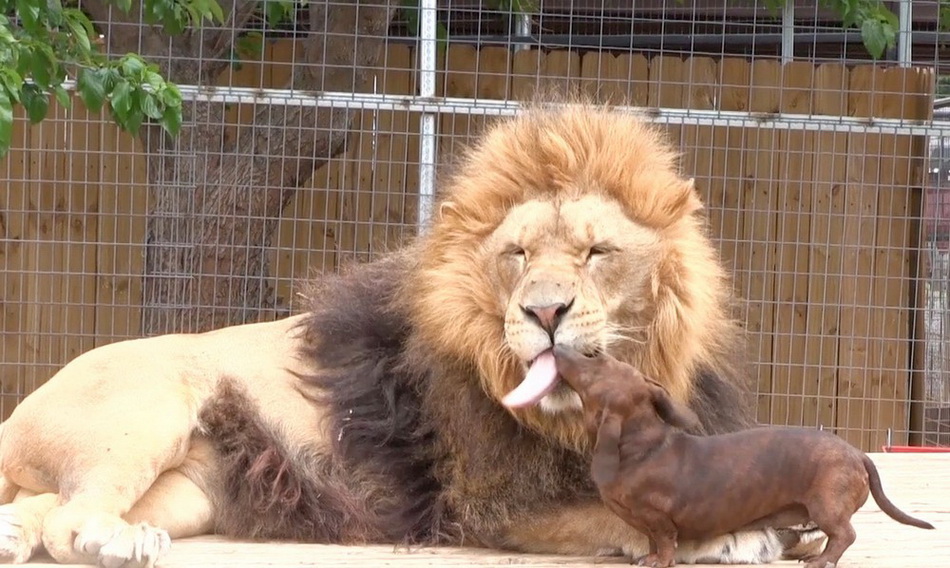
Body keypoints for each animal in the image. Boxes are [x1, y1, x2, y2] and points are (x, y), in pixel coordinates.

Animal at [0, 100, 824, 564]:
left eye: (596, 252)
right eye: (517, 254)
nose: (544, 313)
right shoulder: (487, 505)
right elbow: (614, 512)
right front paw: (728, 534)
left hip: (189, 490)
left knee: (45, 510)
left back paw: (26, 534)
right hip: (146, 413)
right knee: (71, 522)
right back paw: (115, 544)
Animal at [556, 344, 940, 568]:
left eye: (593, 357)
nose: (558, 345)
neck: (640, 446)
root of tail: (859, 455)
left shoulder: (660, 519)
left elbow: (664, 542)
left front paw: (657, 561)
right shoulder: (648, 523)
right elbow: (651, 541)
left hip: (826, 506)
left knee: (845, 535)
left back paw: (821, 561)